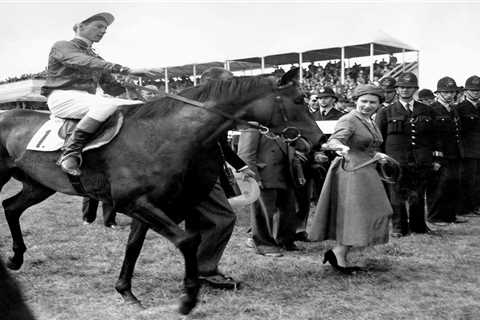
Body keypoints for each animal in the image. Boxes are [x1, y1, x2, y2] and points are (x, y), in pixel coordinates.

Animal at [0, 71, 322, 314]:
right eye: (299, 99)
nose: (318, 141)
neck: (159, 134)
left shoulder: (147, 206)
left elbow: (133, 246)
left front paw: (126, 291)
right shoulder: (134, 203)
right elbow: (187, 240)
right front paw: (188, 297)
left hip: (37, 185)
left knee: (11, 207)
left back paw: (15, 258)